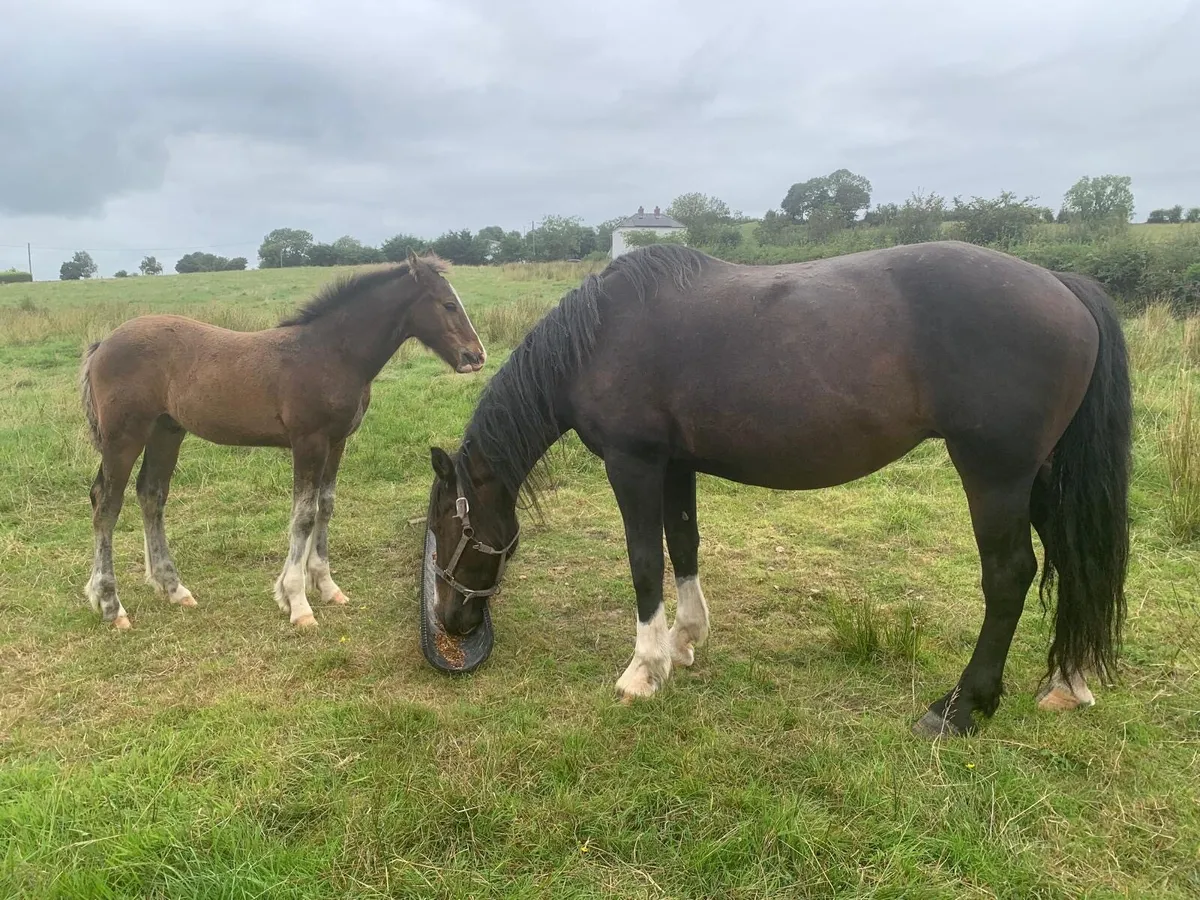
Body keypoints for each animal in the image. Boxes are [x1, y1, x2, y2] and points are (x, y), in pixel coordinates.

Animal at [80, 250, 486, 632]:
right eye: (448, 304)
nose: (475, 356)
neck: (332, 353)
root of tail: (103, 344)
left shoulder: (336, 442)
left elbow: (325, 506)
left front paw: (327, 587)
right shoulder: (308, 442)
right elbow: (303, 515)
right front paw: (297, 602)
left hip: (166, 430)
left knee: (151, 494)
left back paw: (173, 588)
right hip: (123, 437)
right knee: (106, 504)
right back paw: (111, 605)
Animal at [423, 241, 1132, 737]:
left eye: (448, 530)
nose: (450, 622)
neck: (599, 337)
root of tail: (1062, 286)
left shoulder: (634, 464)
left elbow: (645, 561)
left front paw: (643, 670)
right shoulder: (676, 465)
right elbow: (683, 545)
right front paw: (685, 641)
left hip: (996, 475)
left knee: (1011, 576)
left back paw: (960, 707)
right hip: (1040, 478)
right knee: (1073, 563)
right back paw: (1068, 682)